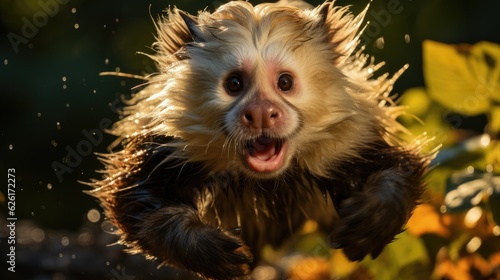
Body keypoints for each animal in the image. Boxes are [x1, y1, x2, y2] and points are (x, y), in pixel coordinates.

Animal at [88, 1, 432, 278]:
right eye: (234, 84)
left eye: (285, 82)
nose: (262, 113)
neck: (266, 183)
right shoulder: (169, 146)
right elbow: (135, 203)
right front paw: (206, 248)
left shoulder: (350, 139)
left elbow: (399, 168)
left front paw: (373, 220)